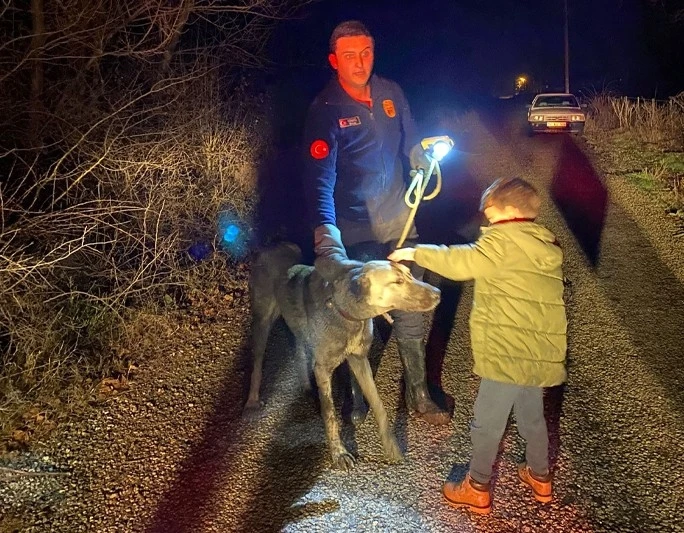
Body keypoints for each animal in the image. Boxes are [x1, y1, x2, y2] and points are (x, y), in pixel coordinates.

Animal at [243, 241, 440, 470]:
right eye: (397, 282)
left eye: (409, 274)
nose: (438, 293)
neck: (345, 312)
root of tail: (273, 244)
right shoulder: (323, 369)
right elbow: (330, 415)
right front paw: (339, 454)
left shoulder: (359, 359)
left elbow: (378, 406)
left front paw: (391, 447)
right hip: (263, 320)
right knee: (257, 362)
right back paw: (252, 402)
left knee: (300, 348)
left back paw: (307, 387)